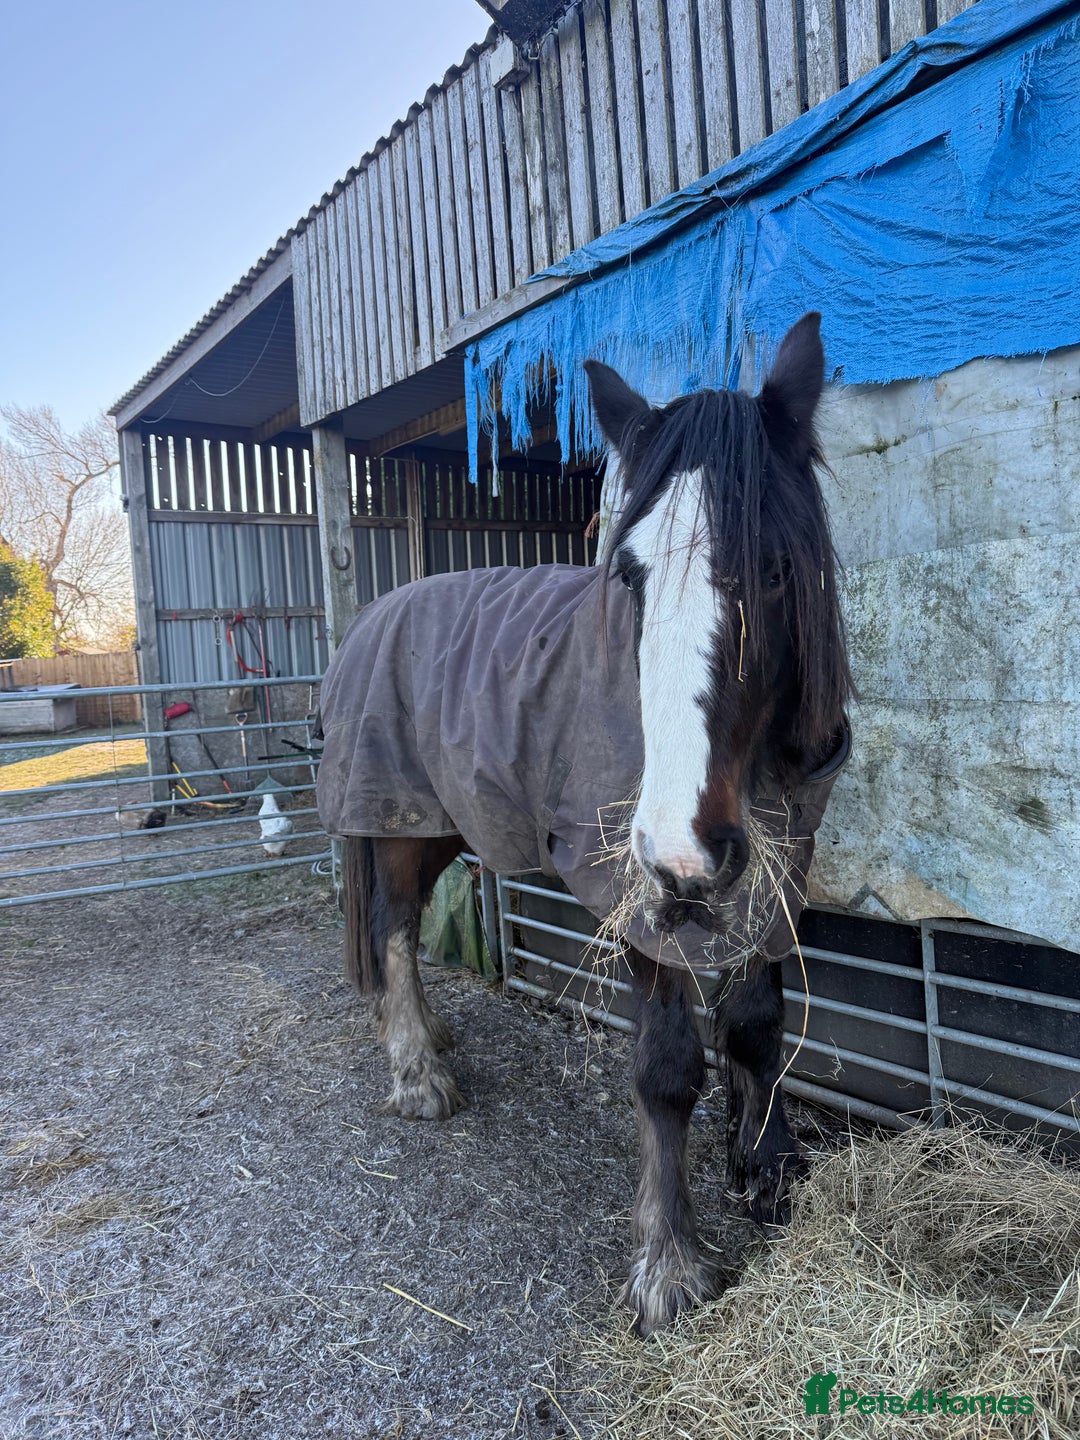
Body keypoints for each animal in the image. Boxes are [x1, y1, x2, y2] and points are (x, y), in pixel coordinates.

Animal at [316, 311, 852, 1336]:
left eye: (774, 567)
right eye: (631, 577)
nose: (683, 851)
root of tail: (374, 613)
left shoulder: (780, 866)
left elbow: (757, 1025)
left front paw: (767, 1172)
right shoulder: (638, 896)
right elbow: (668, 1067)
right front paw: (670, 1265)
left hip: (447, 823)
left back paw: (430, 1037)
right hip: (396, 822)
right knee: (393, 929)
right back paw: (418, 1074)